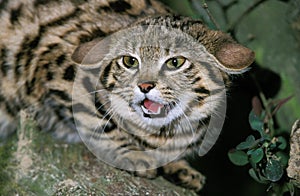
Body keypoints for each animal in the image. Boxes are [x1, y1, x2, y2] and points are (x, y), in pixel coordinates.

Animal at [0, 0, 254, 191]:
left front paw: (179, 167)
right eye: (130, 61)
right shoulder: (49, 63)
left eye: (176, 62)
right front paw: (132, 153)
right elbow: (100, 121)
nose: (144, 85)